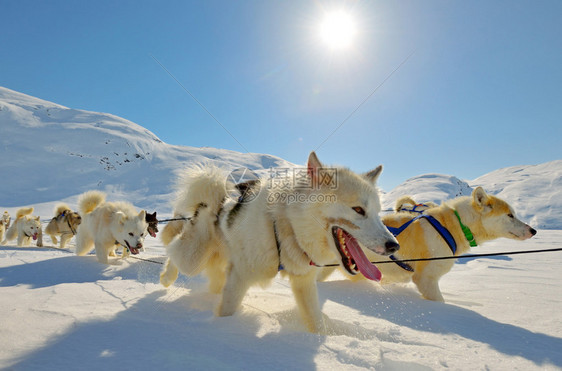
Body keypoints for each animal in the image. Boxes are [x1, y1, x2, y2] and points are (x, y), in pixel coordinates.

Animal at [159, 152, 398, 334]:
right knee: (173, 249)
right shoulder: (239, 278)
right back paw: (166, 276)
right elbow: (227, 311)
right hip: (193, 259)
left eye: (377, 213)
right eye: (358, 210)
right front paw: (222, 327)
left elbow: (316, 322)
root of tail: (216, 198)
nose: (393, 245)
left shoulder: (304, 282)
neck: (285, 227)